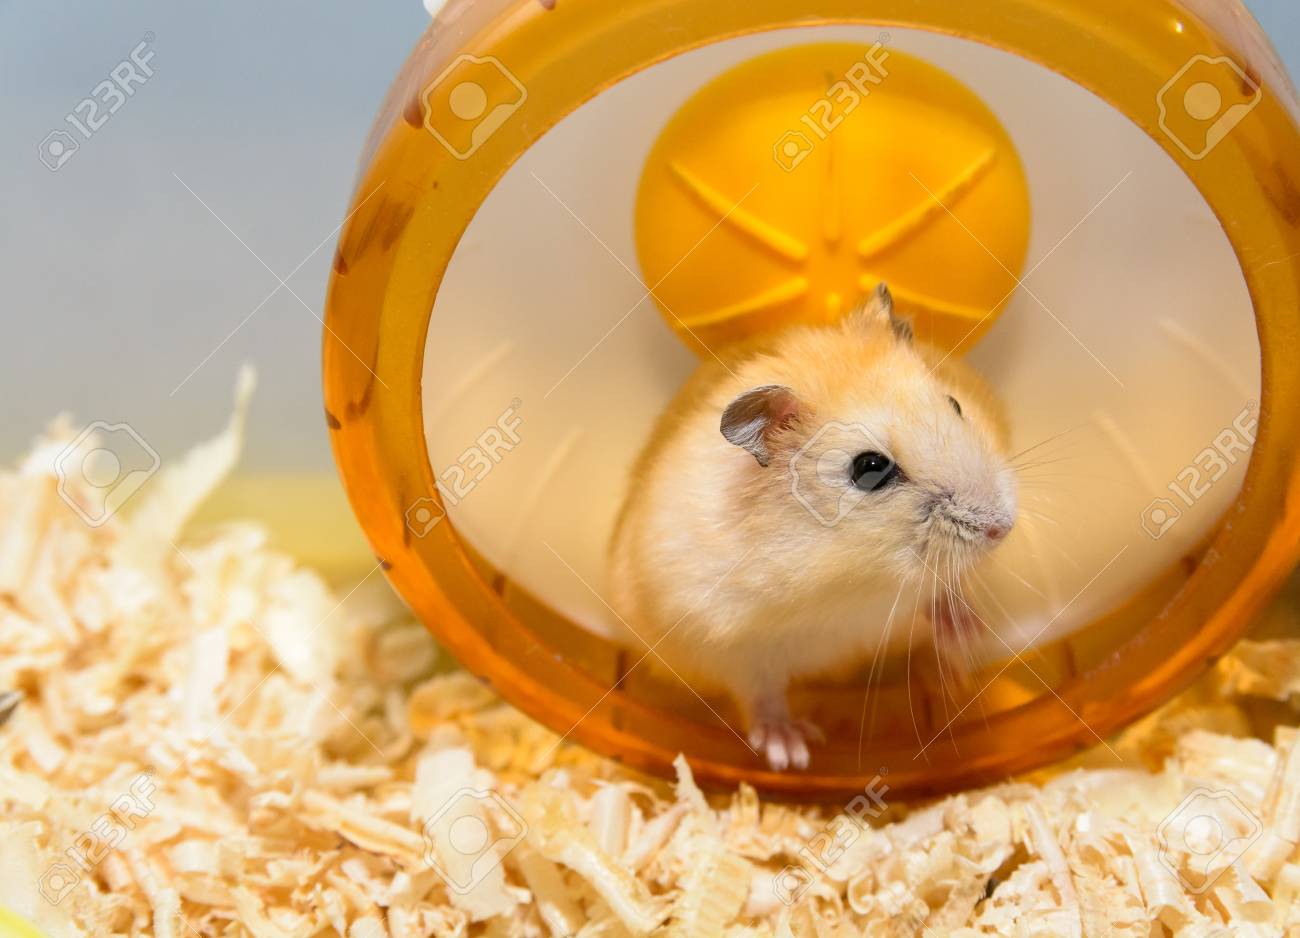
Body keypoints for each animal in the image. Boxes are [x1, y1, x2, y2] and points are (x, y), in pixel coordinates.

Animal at [607, 284, 1017, 771]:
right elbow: (759, 689)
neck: (851, 576)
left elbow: (937, 595)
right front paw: (791, 754)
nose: (1003, 528)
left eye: (955, 405)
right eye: (869, 468)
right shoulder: (722, 636)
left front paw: (968, 629)